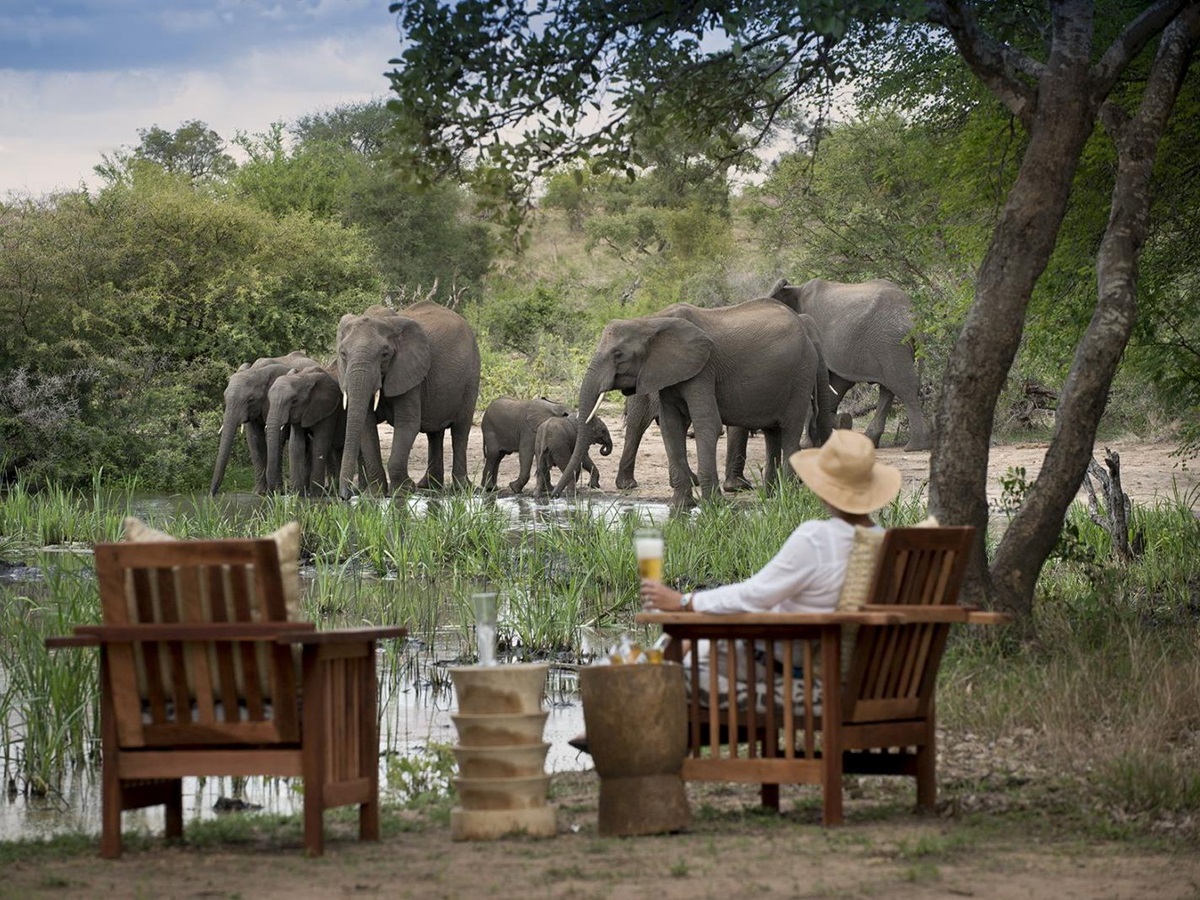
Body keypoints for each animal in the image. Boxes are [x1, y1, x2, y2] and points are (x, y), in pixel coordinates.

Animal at [210, 350, 320, 495]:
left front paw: (277, 491)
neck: (256, 370)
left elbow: (277, 437)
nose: (212, 494)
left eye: (250, 400)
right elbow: (254, 439)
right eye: (224, 397)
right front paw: (259, 492)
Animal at [265, 365, 345, 495]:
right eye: (269, 400)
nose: (277, 492)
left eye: (294, 401)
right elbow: (296, 444)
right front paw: (298, 493)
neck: (303, 377)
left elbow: (320, 444)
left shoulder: (328, 410)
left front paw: (315, 494)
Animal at [336, 301, 480, 498]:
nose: (346, 495)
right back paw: (429, 486)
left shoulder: (409, 372)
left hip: (471, 377)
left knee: (460, 430)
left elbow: (407, 423)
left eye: (385, 354)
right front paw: (375, 493)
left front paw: (403, 490)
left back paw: (461, 488)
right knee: (434, 433)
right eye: (343, 354)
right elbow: (367, 425)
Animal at [556, 297, 831, 509]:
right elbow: (671, 427)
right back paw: (773, 495)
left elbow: (706, 423)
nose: (553, 496)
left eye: (618, 355)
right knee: (773, 432)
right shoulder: (667, 373)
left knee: (790, 429)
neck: (651, 321)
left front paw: (713, 506)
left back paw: (788, 498)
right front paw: (681, 507)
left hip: (801, 374)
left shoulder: (703, 370)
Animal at [768, 277, 931, 451]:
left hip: (891, 344)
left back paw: (915, 446)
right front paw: (838, 423)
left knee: (903, 387)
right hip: (891, 346)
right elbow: (837, 385)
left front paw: (808, 444)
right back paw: (870, 439)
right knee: (888, 390)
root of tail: (913, 317)